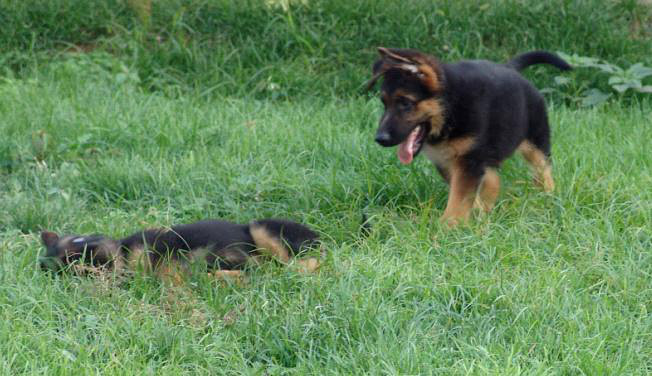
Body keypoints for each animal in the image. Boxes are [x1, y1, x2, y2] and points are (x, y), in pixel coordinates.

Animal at [366, 47, 572, 226]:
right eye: (384, 104)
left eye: (405, 103)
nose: (380, 139)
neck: (450, 107)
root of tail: (510, 68)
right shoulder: (448, 162)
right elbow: (463, 194)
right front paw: (471, 217)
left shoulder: (468, 160)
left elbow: (459, 198)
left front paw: (447, 227)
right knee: (493, 179)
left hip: (536, 141)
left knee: (543, 170)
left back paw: (548, 197)